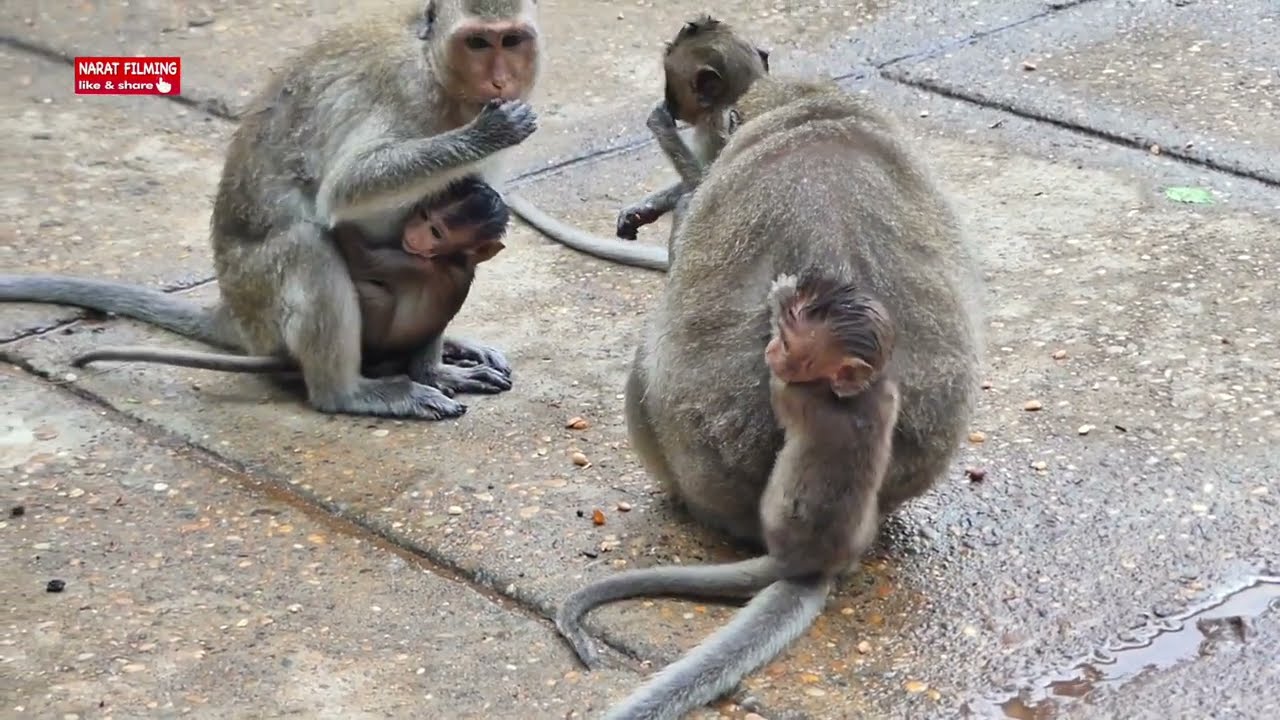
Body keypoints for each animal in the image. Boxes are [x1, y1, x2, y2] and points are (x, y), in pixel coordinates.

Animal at [0, 0, 547, 420]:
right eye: (478, 44)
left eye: (511, 41)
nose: (501, 81)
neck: (436, 70)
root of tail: (234, 315)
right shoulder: (407, 90)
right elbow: (346, 188)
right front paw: (485, 134)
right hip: (262, 302)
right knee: (307, 245)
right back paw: (348, 393)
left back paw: (434, 362)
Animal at [503, 16, 770, 269]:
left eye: (671, 89)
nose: (669, 103)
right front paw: (642, 210)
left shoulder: (723, 122)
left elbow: (707, 191)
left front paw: (659, 121)